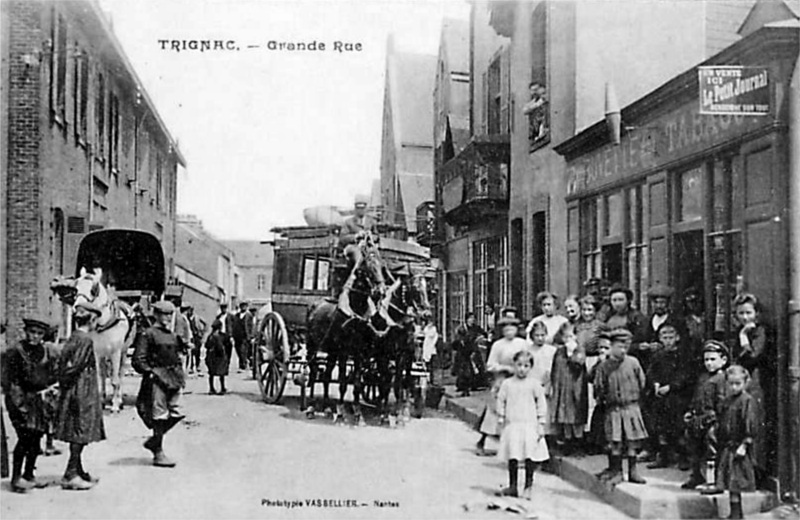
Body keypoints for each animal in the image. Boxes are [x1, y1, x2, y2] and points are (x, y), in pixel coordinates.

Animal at [73, 268, 134, 410]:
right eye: (76, 288)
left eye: (93, 290)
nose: (78, 314)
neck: (104, 324)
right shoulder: (97, 352)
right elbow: (100, 377)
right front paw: (101, 401)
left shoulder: (116, 352)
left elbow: (115, 380)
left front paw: (115, 404)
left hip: (124, 351)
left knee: (120, 373)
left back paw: (119, 399)